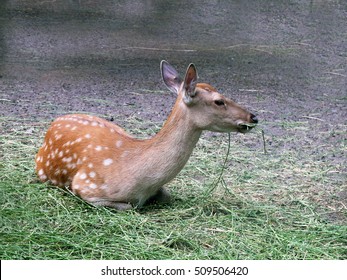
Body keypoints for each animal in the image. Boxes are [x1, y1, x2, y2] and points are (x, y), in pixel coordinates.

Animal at [36, 61, 258, 210]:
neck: (141, 181)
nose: (253, 117)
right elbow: (130, 206)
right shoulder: (86, 186)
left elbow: (166, 195)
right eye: (219, 101)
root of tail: (55, 122)